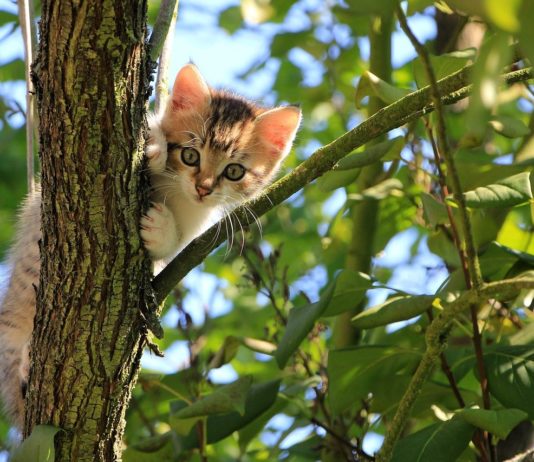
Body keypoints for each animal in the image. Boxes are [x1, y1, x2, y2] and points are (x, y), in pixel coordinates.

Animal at [0, 63, 302, 428]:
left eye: (234, 171)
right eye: (190, 154)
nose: (203, 188)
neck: (176, 193)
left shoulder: (195, 226)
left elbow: (171, 248)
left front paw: (160, 229)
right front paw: (154, 146)